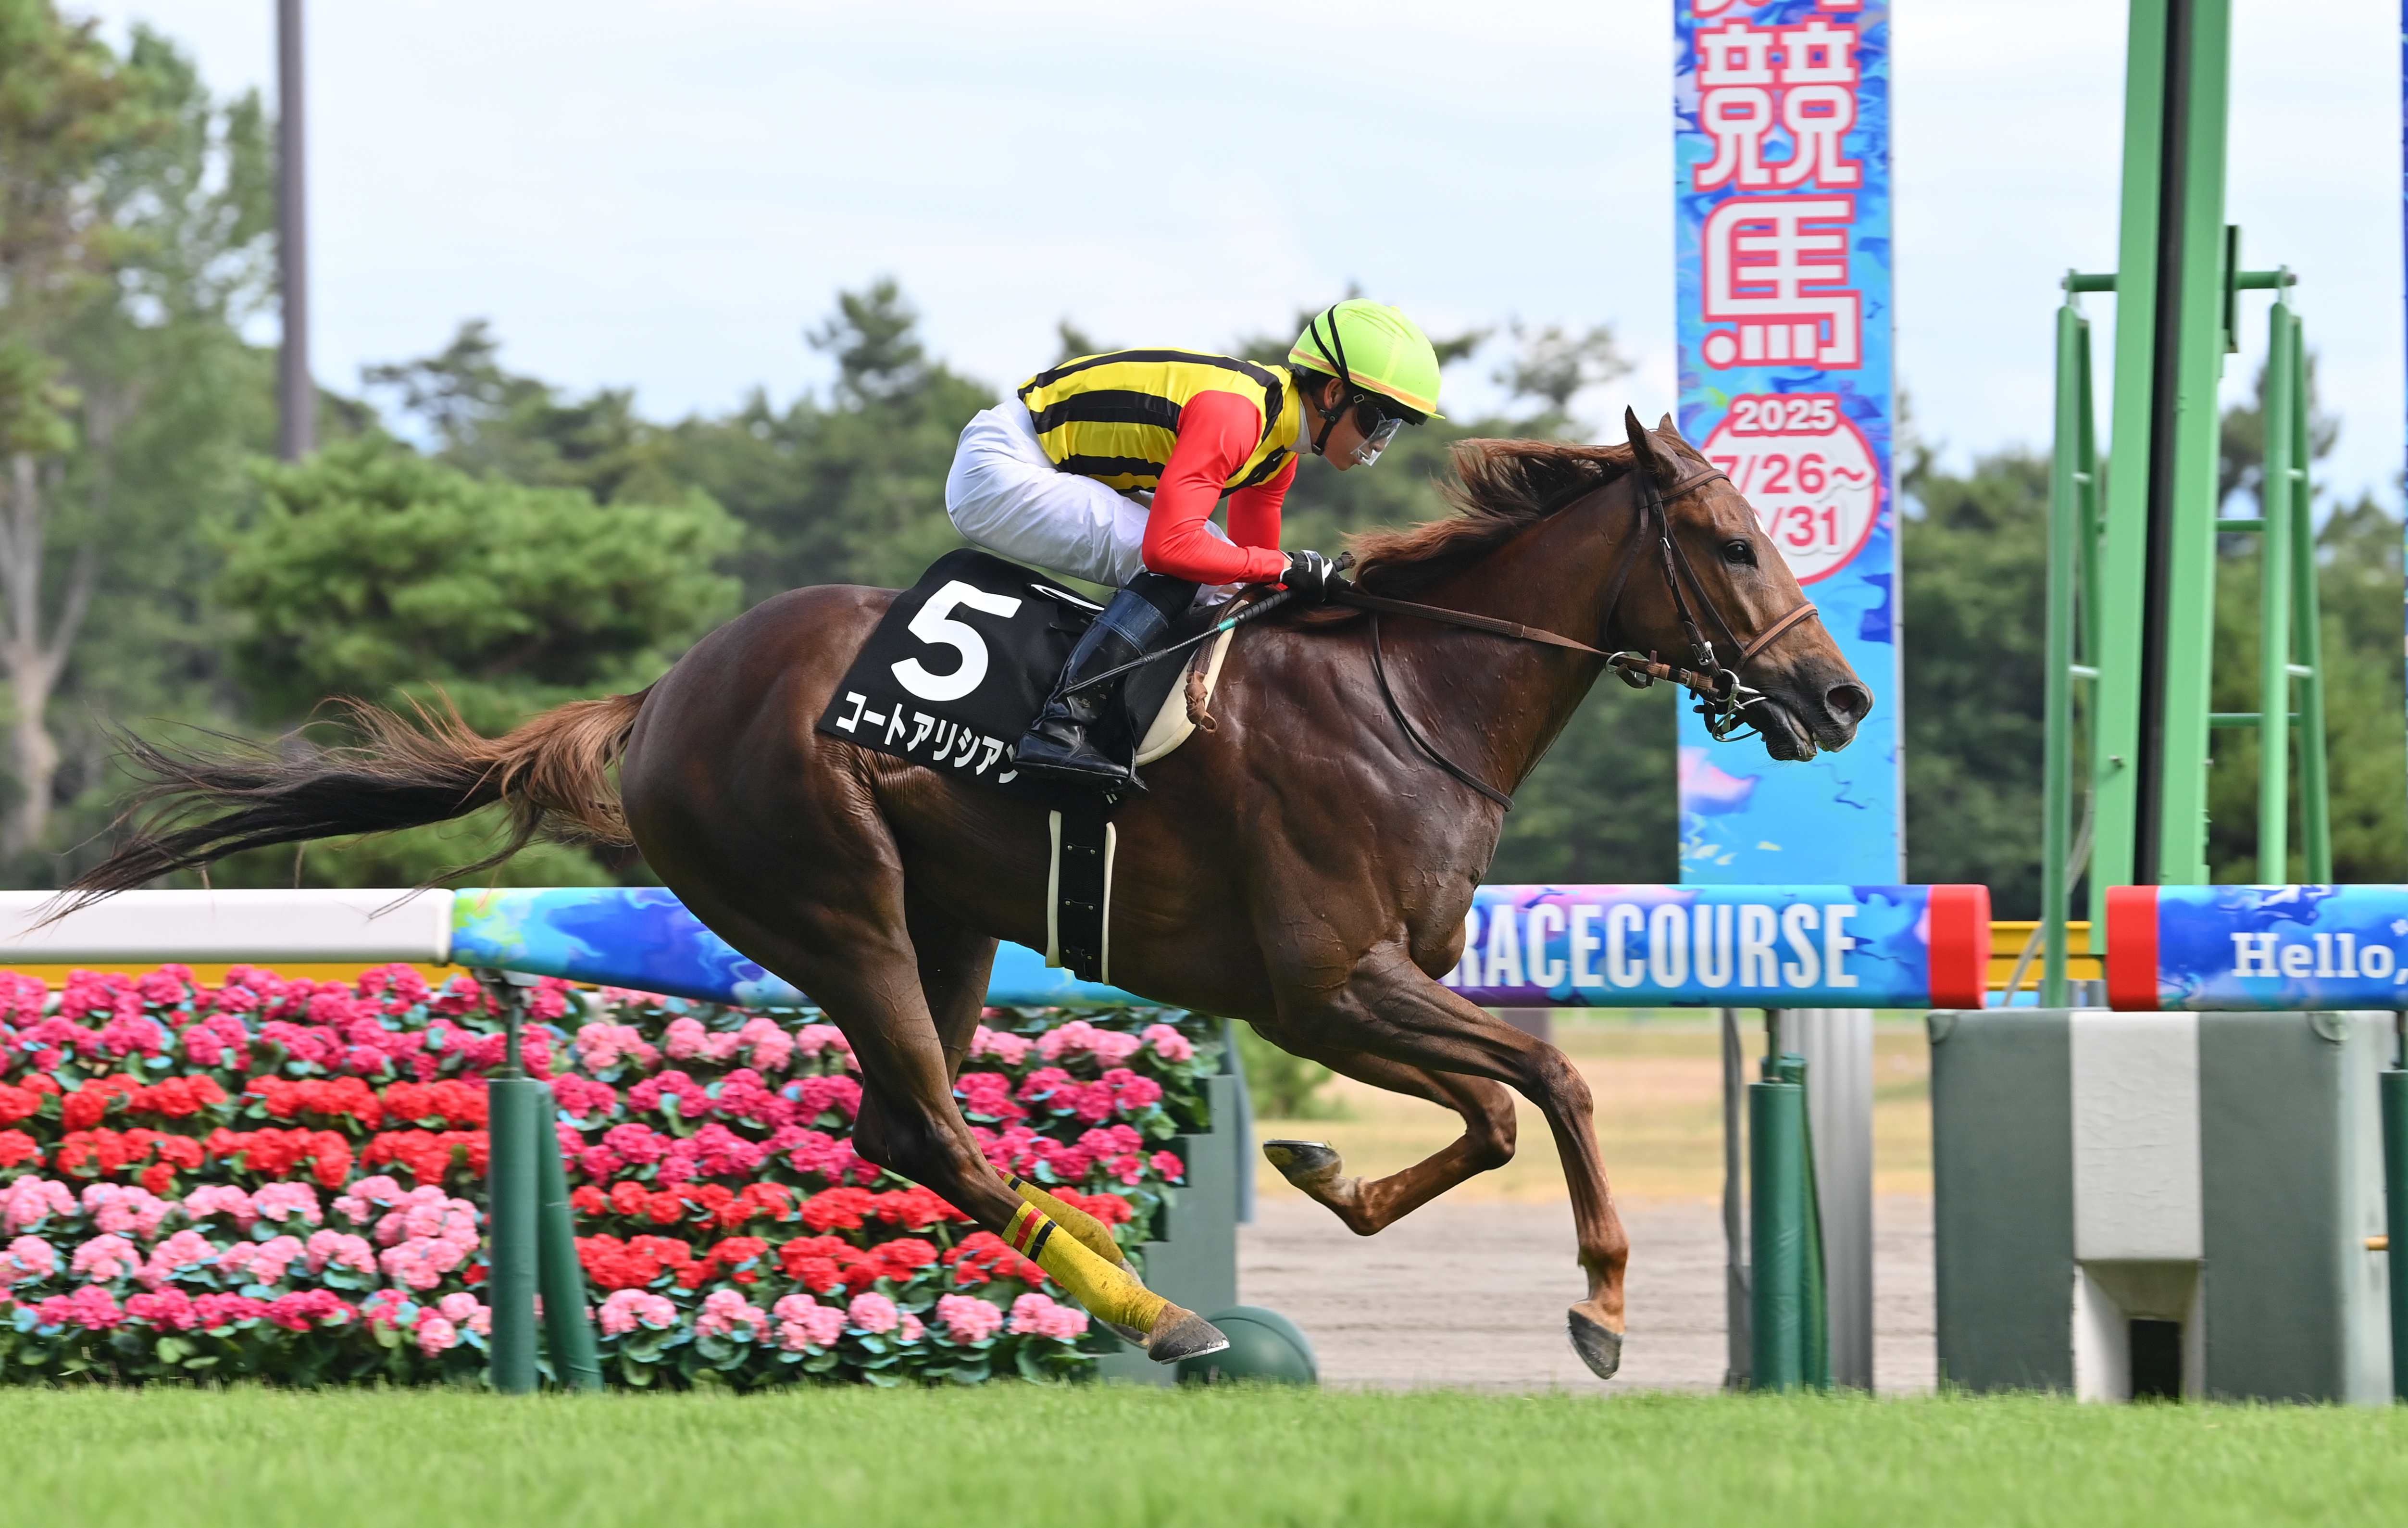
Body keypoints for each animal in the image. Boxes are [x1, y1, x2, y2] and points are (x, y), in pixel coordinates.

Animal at [70, 412, 1870, 1379]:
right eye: (1726, 543)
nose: (1839, 698)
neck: (1406, 695)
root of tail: (656, 699)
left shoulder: (1351, 988)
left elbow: (1495, 1112)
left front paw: (1322, 1169)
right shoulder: (1319, 981)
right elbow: (1552, 1081)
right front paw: (1602, 1302)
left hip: (953, 922)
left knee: (901, 1124)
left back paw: (1136, 1292)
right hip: (834, 898)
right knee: (930, 1124)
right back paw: (1164, 1316)